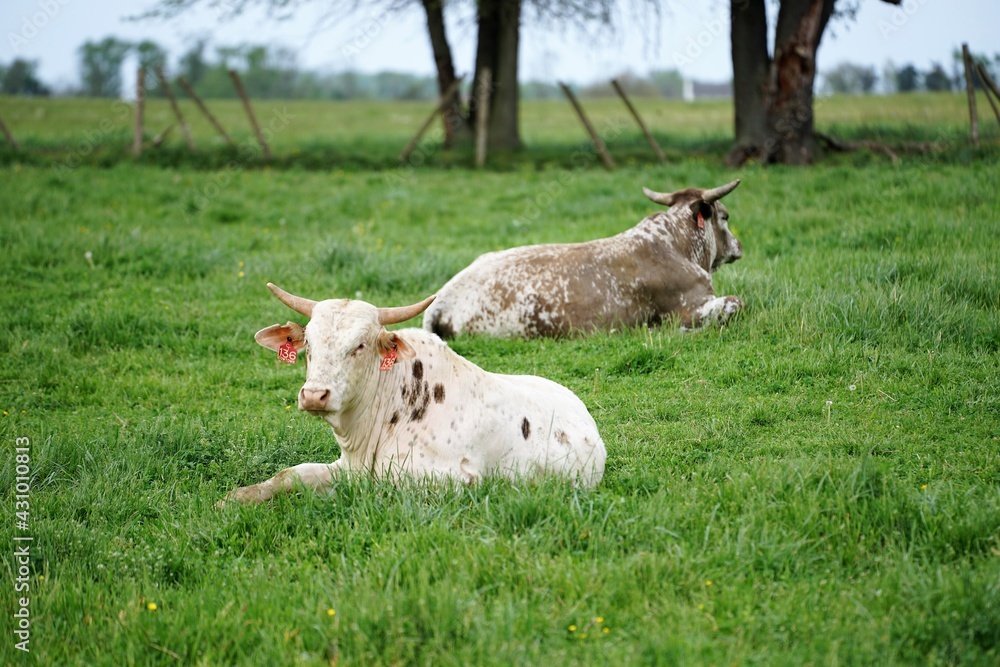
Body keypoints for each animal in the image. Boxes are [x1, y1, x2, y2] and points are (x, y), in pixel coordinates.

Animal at [221, 283, 606, 504]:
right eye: (309, 346)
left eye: (360, 345)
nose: (315, 395)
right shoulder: (347, 466)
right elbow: (291, 474)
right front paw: (235, 498)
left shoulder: (451, 482)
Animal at [423, 179, 745, 338]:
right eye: (726, 216)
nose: (738, 245)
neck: (675, 243)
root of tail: (441, 298)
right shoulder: (691, 307)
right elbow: (736, 302)